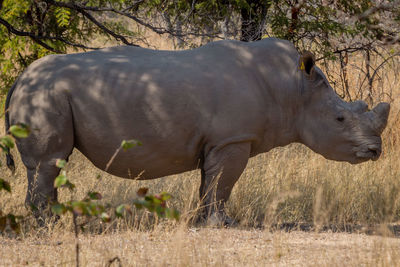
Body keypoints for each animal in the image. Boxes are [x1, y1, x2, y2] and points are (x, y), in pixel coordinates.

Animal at [3, 37, 390, 224]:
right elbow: (223, 184)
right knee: (49, 162)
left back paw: (53, 219)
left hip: (45, 91)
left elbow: (211, 183)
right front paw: (223, 223)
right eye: (340, 120)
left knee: (51, 165)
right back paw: (48, 225)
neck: (294, 89)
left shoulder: (219, 141)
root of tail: (20, 77)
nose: (375, 151)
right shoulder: (233, 138)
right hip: (45, 92)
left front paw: (204, 221)